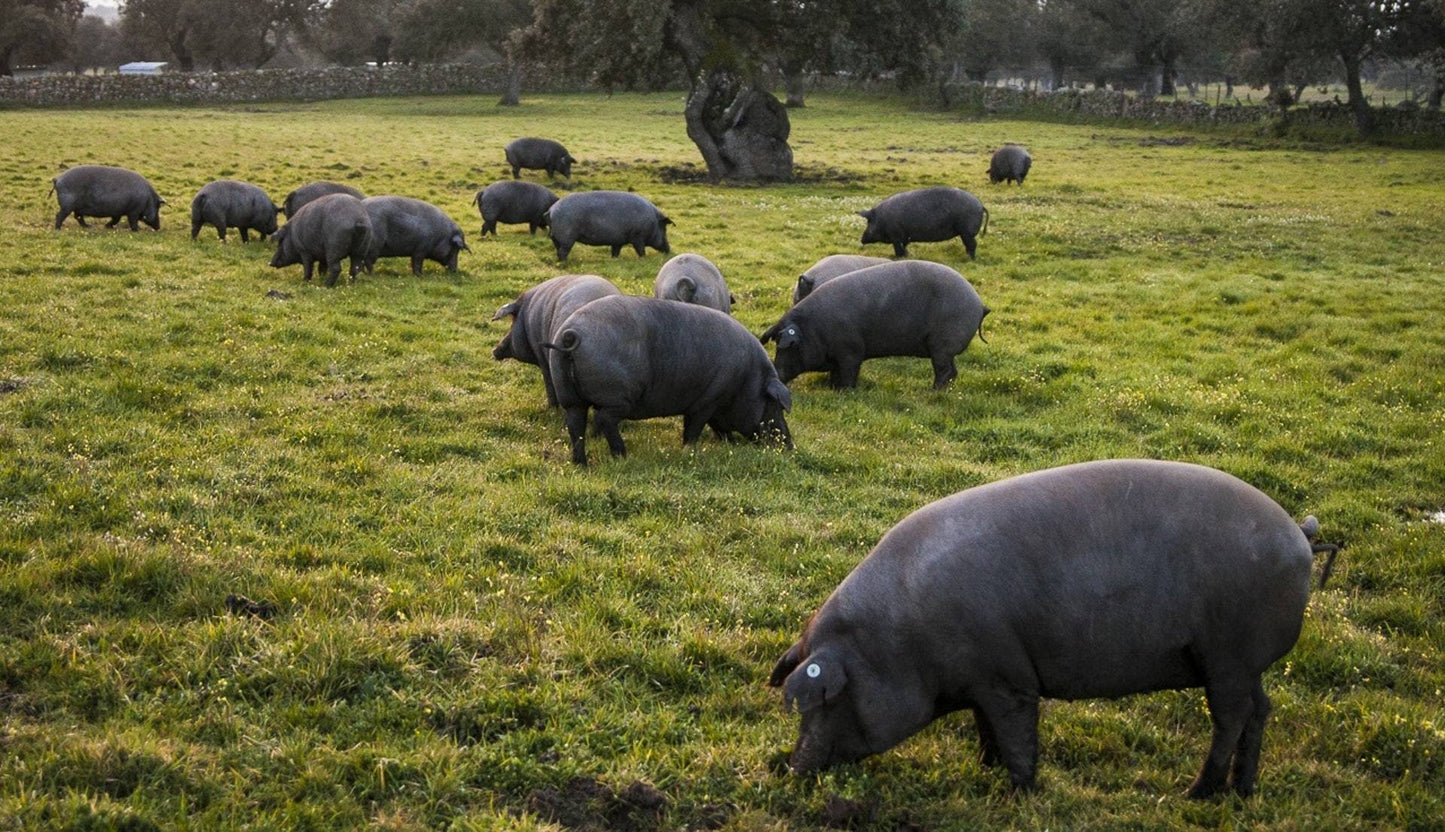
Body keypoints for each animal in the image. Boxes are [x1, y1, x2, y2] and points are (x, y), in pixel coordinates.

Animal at [543, 296, 791, 465]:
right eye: (774, 405)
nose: (790, 445)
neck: (746, 380)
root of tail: (571, 334)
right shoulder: (707, 400)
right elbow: (694, 428)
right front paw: (689, 451)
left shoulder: (711, 403)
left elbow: (717, 427)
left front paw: (728, 443)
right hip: (618, 397)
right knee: (603, 419)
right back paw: (622, 456)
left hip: (570, 397)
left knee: (575, 424)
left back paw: (581, 464)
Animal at [762, 260, 988, 390]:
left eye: (787, 346)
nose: (776, 373)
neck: (815, 329)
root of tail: (979, 303)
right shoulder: (837, 355)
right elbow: (836, 373)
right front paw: (832, 388)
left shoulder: (851, 351)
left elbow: (848, 373)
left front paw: (844, 392)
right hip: (945, 349)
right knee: (953, 372)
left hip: (942, 345)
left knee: (944, 371)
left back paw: (933, 391)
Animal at [774, 459, 1335, 797]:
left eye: (826, 700)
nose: (790, 768)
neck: (900, 641)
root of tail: (1299, 533)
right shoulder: (982, 682)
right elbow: (987, 729)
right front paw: (986, 770)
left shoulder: (1007, 680)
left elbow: (1017, 733)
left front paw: (1017, 792)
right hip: (1244, 662)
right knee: (1261, 709)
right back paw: (1243, 790)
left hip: (1228, 656)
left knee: (1231, 717)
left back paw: (1195, 794)